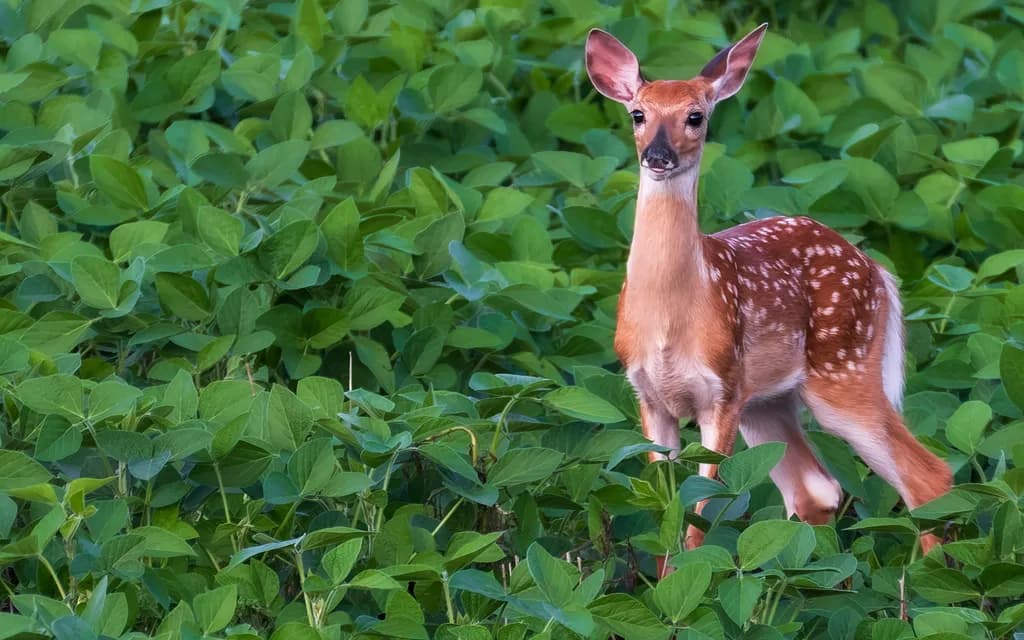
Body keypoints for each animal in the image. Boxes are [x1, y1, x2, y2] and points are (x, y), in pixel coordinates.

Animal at [584, 24, 953, 576]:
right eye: (638, 114)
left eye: (696, 116)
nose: (658, 157)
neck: (671, 319)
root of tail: (876, 269)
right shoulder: (648, 395)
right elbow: (666, 509)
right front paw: (665, 582)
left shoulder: (722, 390)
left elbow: (698, 514)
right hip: (770, 400)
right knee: (817, 489)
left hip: (842, 369)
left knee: (928, 475)